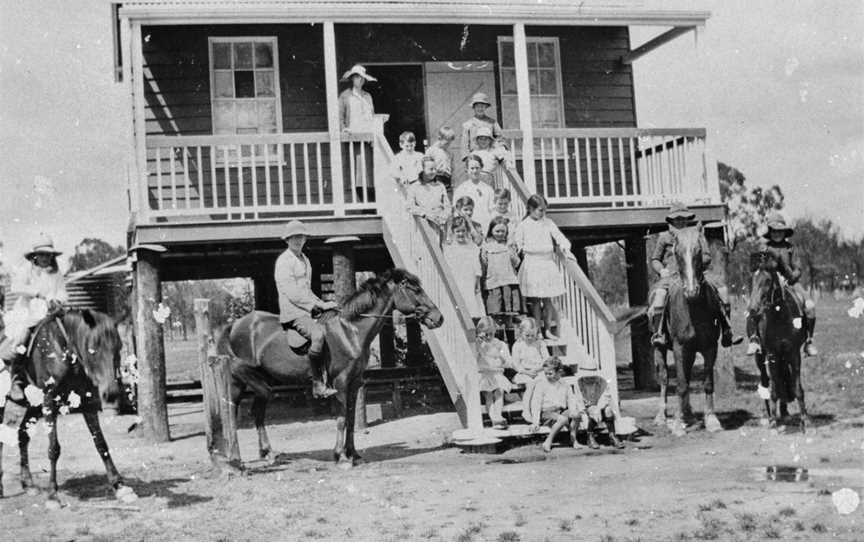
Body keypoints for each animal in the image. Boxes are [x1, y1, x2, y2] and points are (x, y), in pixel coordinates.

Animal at [0, 310, 135, 506]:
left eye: (118, 347)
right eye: (93, 347)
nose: (111, 393)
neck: (64, 351)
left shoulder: (87, 403)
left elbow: (101, 444)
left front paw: (120, 487)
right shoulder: (50, 403)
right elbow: (53, 449)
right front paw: (52, 495)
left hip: (34, 405)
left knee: (23, 435)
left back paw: (28, 484)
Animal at [219, 270, 442, 470]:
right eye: (415, 289)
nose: (439, 318)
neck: (350, 331)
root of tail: (235, 325)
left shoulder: (355, 383)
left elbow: (351, 419)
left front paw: (354, 455)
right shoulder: (341, 382)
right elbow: (342, 419)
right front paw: (341, 457)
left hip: (264, 382)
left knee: (257, 412)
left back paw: (268, 454)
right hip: (241, 381)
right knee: (232, 410)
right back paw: (236, 458)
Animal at [652, 226, 724, 438]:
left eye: (699, 251)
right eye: (676, 253)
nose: (691, 291)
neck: (693, 308)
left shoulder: (710, 347)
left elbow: (707, 383)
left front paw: (712, 420)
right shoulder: (679, 347)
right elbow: (681, 385)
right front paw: (677, 425)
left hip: (691, 352)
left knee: (688, 374)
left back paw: (688, 415)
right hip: (660, 348)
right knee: (665, 379)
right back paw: (662, 417)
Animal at [748, 256, 808, 434]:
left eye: (768, 280)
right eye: (752, 279)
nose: (753, 309)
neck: (780, 315)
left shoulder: (793, 354)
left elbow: (797, 388)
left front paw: (805, 421)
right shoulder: (772, 354)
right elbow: (773, 389)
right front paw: (774, 421)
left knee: (783, 379)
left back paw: (785, 412)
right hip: (760, 358)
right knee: (766, 383)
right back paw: (770, 416)